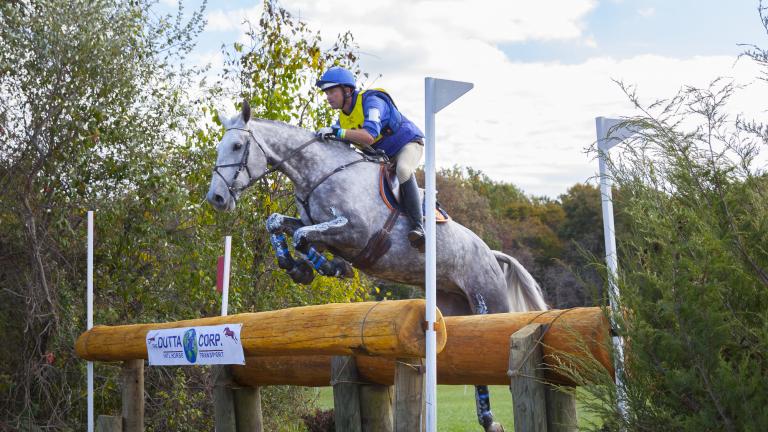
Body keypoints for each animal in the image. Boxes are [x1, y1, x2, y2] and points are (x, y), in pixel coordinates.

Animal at [204, 100, 544, 432]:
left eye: (236, 146)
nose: (216, 198)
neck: (319, 173)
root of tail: (491, 254)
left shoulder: (355, 231)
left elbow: (302, 237)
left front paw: (327, 268)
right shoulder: (318, 228)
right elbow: (278, 223)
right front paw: (300, 267)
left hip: (488, 300)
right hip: (450, 310)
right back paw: (488, 420)